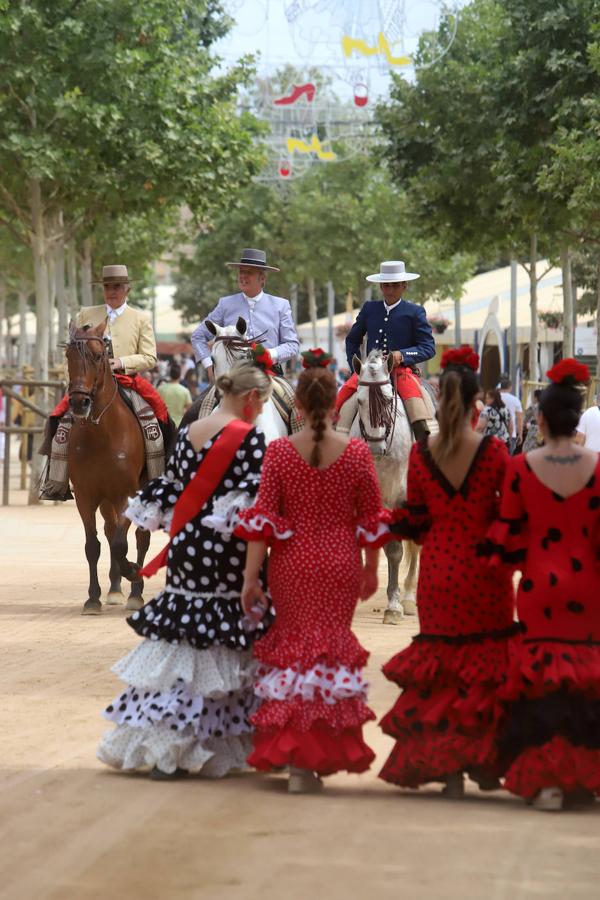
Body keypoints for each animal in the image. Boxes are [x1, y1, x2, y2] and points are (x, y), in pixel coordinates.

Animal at [63, 320, 150, 616]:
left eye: (99, 355)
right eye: (68, 355)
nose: (79, 402)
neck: (102, 434)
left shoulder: (128, 494)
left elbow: (122, 544)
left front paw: (132, 572)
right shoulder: (85, 495)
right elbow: (94, 545)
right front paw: (93, 598)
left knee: (139, 538)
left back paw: (135, 592)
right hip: (105, 499)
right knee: (111, 531)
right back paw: (114, 589)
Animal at [350, 352, 420, 624]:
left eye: (389, 399)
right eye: (359, 401)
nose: (375, 449)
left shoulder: (397, 498)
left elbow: (394, 550)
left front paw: (394, 605)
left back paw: (409, 597)